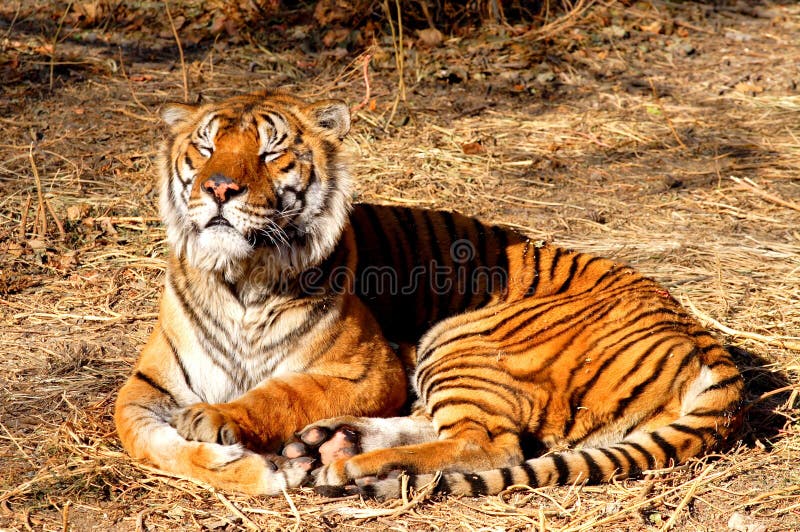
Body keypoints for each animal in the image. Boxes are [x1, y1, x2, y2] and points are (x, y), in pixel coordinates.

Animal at [114, 90, 743, 499]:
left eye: (270, 153)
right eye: (204, 150)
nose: (219, 188)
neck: (242, 277)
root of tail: (699, 334)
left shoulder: (369, 369)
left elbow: (283, 392)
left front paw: (224, 422)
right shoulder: (145, 390)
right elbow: (148, 442)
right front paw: (251, 468)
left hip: (465, 339)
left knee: (488, 444)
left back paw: (352, 466)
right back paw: (328, 443)